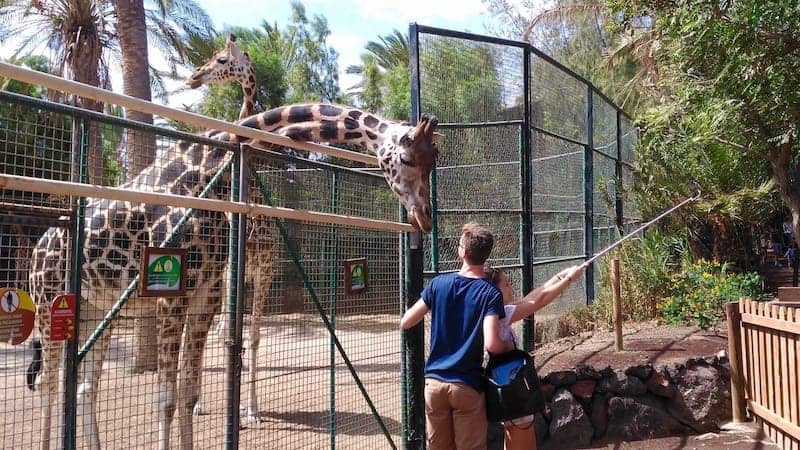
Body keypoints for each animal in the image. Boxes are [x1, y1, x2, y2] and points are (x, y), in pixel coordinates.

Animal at [26, 103, 438, 450]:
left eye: (433, 162)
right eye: (405, 157)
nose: (425, 217)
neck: (208, 169)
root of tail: (36, 249)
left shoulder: (206, 293)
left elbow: (188, 392)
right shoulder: (171, 294)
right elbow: (166, 399)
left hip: (97, 312)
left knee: (84, 389)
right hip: (48, 304)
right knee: (47, 382)